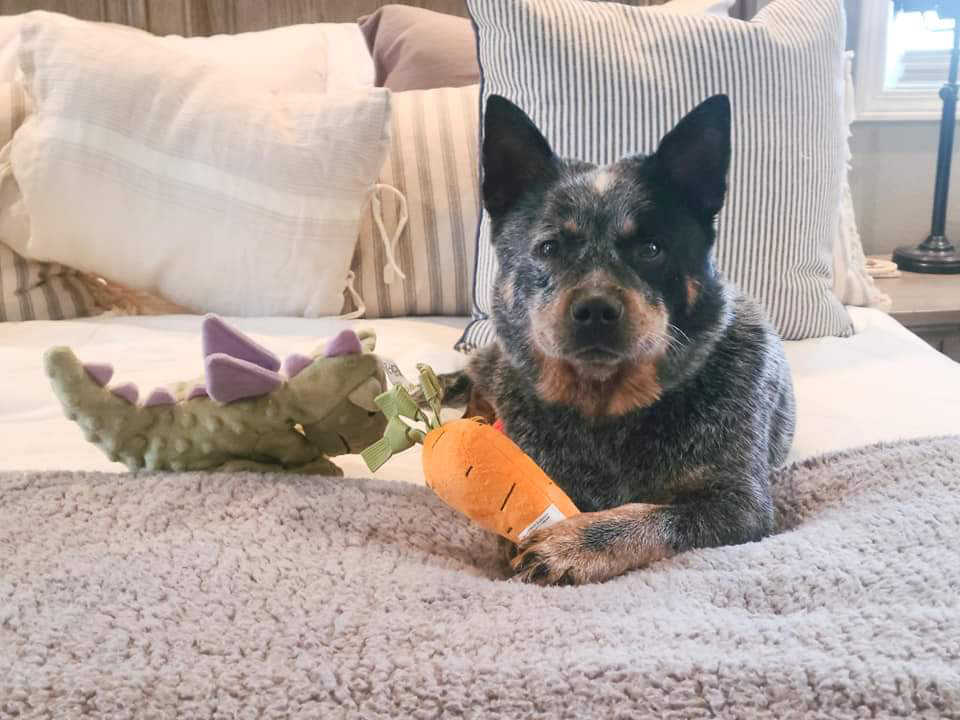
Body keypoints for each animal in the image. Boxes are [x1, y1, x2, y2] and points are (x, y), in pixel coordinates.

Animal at [446, 93, 800, 584]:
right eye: (549, 248)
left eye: (651, 249)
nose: (596, 310)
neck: (608, 411)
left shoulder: (739, 503)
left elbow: (652, 515)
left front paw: (572, 546)